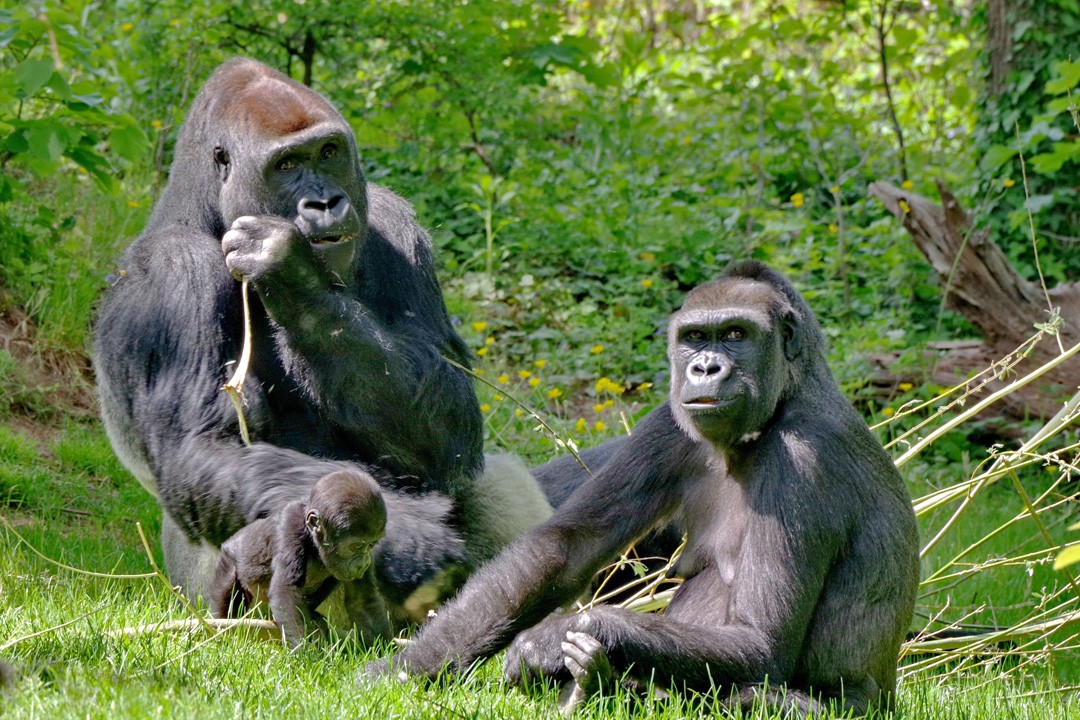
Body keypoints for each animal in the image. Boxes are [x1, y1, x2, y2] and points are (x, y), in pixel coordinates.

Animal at [91, 57, 548, 613]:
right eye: (287, 165)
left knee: (491, 480)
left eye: (328, 153)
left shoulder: (397, 223)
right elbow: (205, 449)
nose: (326, 202)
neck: (203, 211)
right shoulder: (173, 276)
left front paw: (292, 275)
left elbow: (448, 426)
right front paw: (411, 542)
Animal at [208, 468, 390, 647]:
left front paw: (383, 649)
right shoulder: (291, 524)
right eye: (356, 546)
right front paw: (303, 650)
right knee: (227, 588)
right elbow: (285, 590)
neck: (314, 540)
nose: (363, 564)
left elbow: (362, 600)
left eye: (371, 545)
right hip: (229, 557)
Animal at [371, 262, 920, 716]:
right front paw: (409, 666)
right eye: (695, 337)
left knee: (752, 695)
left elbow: (758, 641)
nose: (704, 368)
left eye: (736, 334)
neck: (786, 398)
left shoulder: (803, 459)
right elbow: (562, 549)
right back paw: (596, 687)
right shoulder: (668, 424)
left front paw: (555, 636)